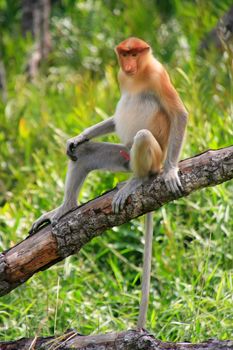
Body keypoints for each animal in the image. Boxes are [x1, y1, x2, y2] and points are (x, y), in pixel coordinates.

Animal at [30, 37, 187, 330]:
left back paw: (141, 180)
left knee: (143, 136)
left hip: (152, 156)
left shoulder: (158, 75)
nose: (128, 64)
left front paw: (173, 172)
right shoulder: (121, 78)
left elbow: (179, 114)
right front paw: (78, 137)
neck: (138, 75)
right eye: (124, 54)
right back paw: (65, 208)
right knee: (85, 155)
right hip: (123, 157)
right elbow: (107, 125)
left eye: (135, 54)